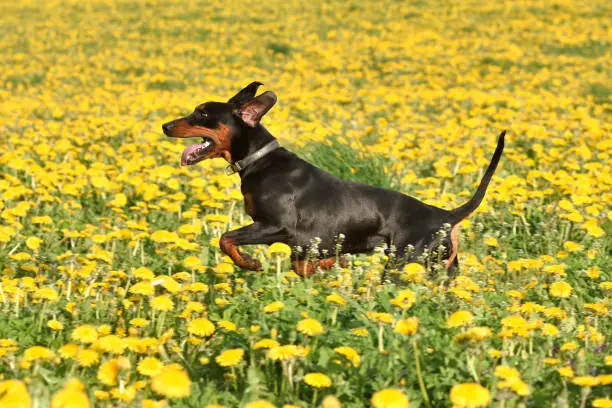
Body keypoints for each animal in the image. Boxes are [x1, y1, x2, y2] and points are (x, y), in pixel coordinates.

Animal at [161, 82, 502, 278]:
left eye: (202, 114)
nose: (165, 126)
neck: (260, 160)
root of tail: (446, 215)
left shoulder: (277, 226)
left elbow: (226, 238)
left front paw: (250, 264)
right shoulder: (300, 243)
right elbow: (304, 265)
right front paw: (330, 265)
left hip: (403, 264)